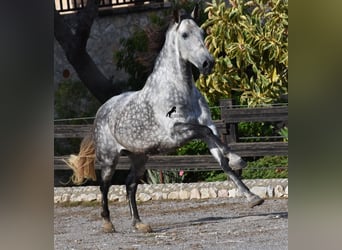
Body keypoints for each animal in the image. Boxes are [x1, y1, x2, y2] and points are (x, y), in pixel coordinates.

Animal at [67, 6, 264, 233]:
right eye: (184, 35)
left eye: (203, 33)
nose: (208, 63)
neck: (180, 91)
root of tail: (101, 111)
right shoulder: (175, 133)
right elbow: (206, 134)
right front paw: (239, 160)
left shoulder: (208, 125)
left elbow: (221, 158)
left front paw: (252, 196)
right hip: (109, 159)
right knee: (105, 186)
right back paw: (108, 223)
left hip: (139, 157)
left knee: (130, 184)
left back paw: (139, 223)